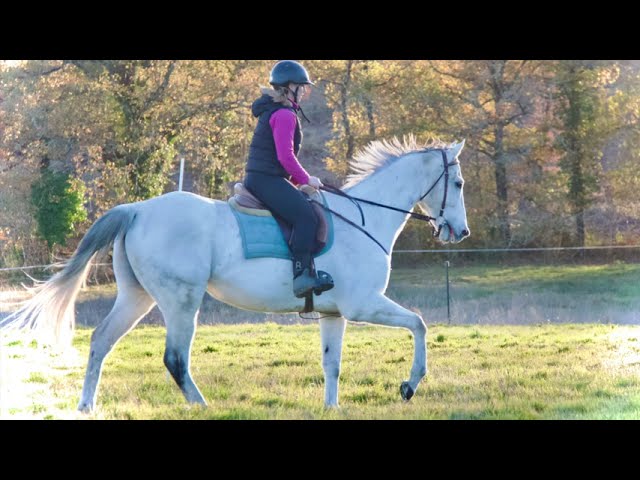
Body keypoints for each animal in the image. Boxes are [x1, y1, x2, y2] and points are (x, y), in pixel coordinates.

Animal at [1, 137, 470, 413]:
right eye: (459, 183)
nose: (460, 232)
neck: (365, 219)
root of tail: (136, 210)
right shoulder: (363, 305)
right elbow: (419, 325)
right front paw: (409, 386)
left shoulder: (334, 313)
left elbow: (332, 364)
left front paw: (332, 409)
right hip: (181, 301)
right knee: (175, 357)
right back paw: (203, 406)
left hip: (138, 297)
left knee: (101, 341)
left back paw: (86, 406)